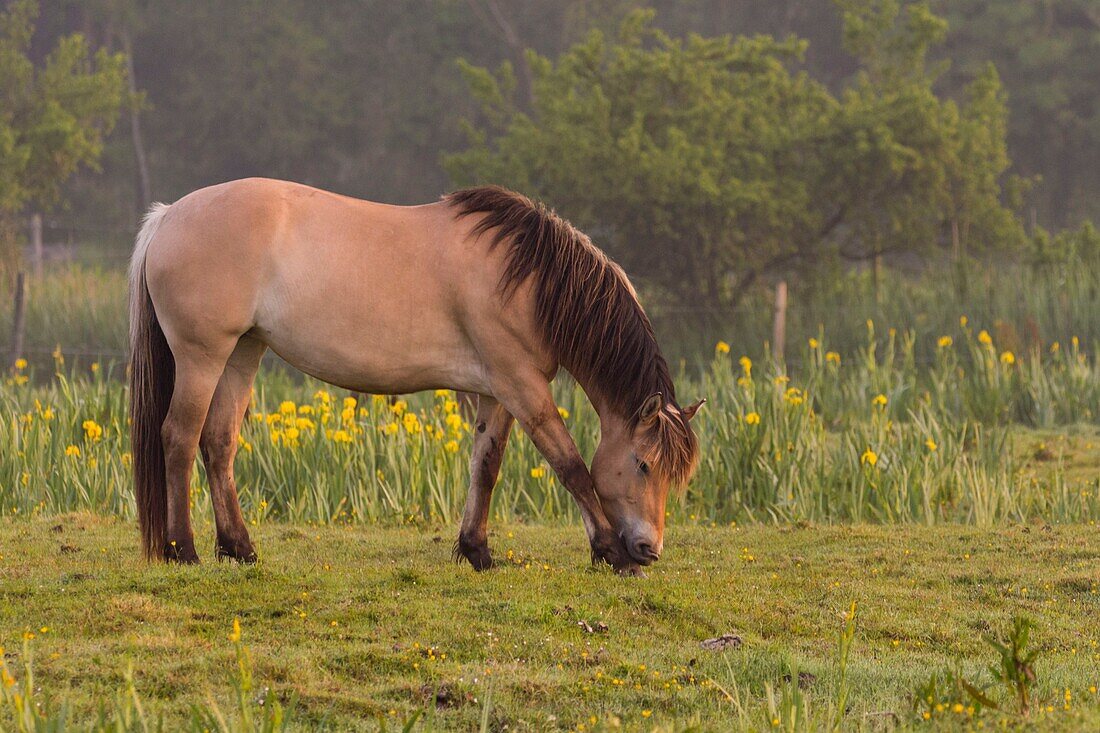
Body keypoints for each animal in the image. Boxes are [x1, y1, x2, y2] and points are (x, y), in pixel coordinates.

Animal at [128, 177, 704, 572]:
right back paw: (183, 549)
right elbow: (571, 467)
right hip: (202, 357)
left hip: (241, 354)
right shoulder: (523, 387)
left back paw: (239, 548)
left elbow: (485, 467)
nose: (649, 550)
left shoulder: (498, 394)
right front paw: (609, 552)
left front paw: (476, 551)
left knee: (218, 443)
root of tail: (167, 217)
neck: (526, 279)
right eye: (644, 464)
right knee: (179, 439)